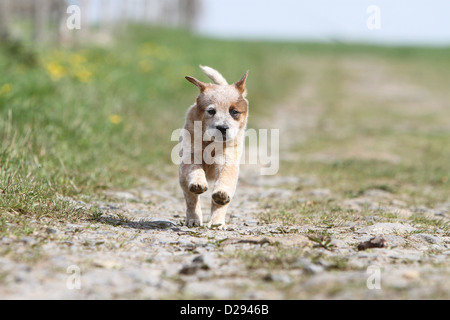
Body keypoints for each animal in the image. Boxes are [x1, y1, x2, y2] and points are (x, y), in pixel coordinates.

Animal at [179, 66, 250, 229]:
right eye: (211, 111)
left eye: (234, 112)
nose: (222, 128)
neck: (211, 144)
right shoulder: (190, 156)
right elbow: (195, 170)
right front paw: (198, 183)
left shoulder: (228, 161)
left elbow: (225, 180)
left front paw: (221, 194)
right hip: (182, 180)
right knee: (191, 200)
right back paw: (193, 219)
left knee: (217, 204)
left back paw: (217, 222)